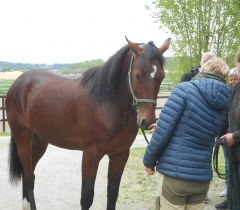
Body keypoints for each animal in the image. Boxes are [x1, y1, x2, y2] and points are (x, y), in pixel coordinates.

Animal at [5, 37, 171, 209]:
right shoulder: (90, 155)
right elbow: (86, 197)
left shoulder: (120, 154)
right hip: (22, 140)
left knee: (28, 174)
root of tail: (18, 84)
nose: (147, 122)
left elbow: (112, 193)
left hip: (39, 141)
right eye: (138, 75)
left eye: (162, 76)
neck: (106, 102)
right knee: (29, 179)